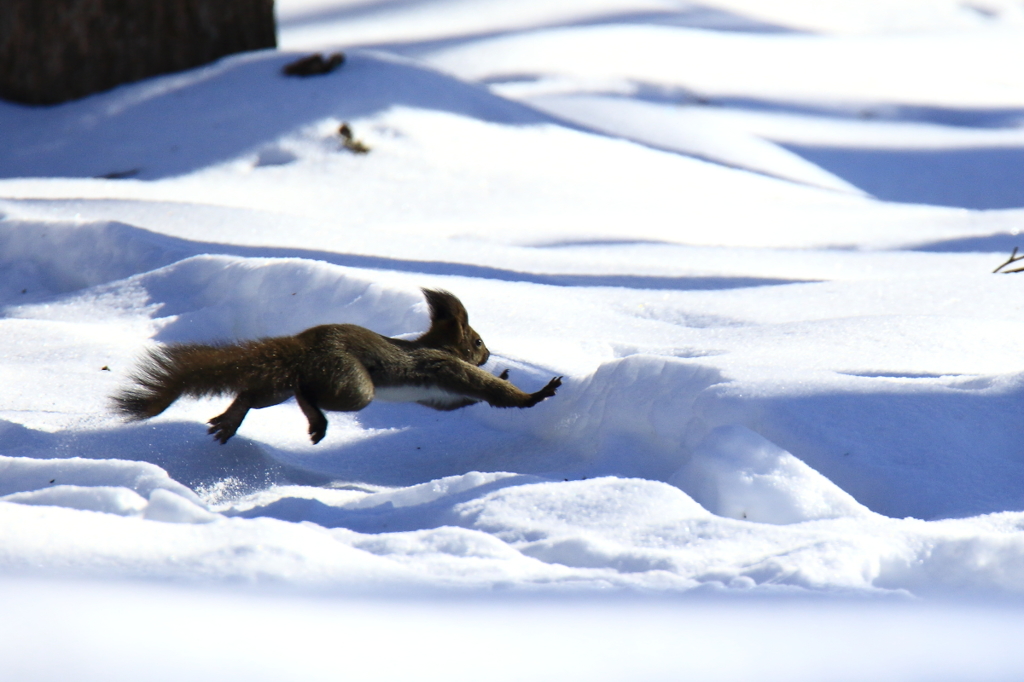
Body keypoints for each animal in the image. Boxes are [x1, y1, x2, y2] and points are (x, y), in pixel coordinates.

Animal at [113, 288, 565, 444]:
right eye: (478, 341)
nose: (489, 355)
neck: (435, 347)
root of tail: (303, 347)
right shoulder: (443, 367)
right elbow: (493, 393)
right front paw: (538, 391)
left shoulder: (441, 395)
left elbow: (456, 403)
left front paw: (505, 373)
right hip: (352, 384)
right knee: (308, 395)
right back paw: (315, 420)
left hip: (281, 384)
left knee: (254, 394)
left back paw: (229, 420)